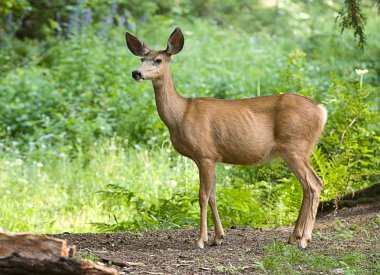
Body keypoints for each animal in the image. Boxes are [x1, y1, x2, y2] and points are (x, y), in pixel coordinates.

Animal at [124, 28, 326, 250]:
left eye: (158, 60)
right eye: (142, 58)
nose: (136, 72)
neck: (180, 115)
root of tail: (321, 111)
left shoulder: (204, 154)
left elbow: (202, 196)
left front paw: (201, 240)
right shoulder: (213, 157)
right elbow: (213, 195)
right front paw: (218, 237)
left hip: (296, 147)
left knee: (314, 184)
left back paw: (304, 239)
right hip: (294, 151)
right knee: (306, 186)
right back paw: (293, 236)